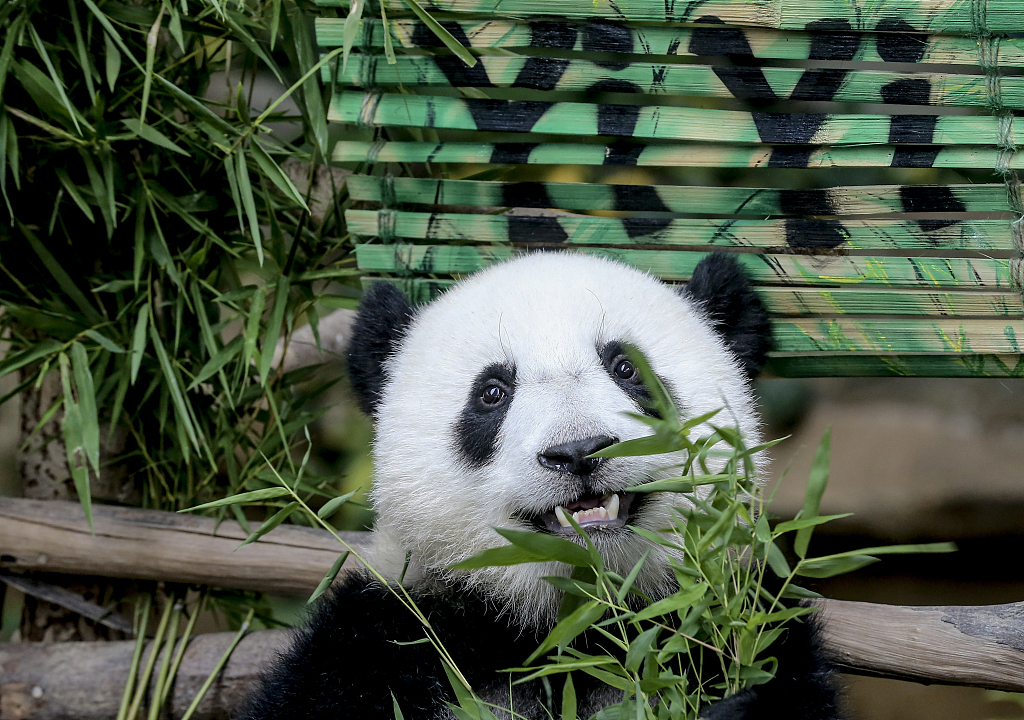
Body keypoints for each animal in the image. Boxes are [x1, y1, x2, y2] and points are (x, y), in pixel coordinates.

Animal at [239, 251, 839, 720]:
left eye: (626, 367)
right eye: (492, 392)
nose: (579, 451)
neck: (572, 619)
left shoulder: (730, 617)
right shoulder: (393, 635)